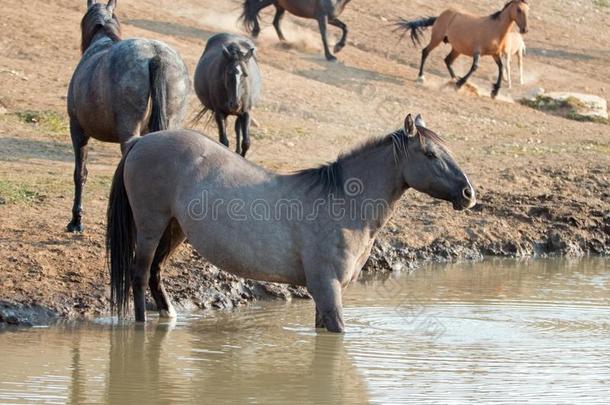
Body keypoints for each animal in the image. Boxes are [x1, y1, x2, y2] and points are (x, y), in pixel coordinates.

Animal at [104, 113, 476, 332]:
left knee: (155, 272)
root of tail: (141, 140)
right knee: (139, 273)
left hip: (175, 228)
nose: (469, 193)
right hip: (151, 225)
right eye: (430, 154)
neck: (345, 203)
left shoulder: (323, 292)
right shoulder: (328, 287)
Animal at [394, 0, 528, 98]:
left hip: (457, 49)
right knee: (425, 52)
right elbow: (474, 67)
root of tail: (442, 15)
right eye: (519, 9)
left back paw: (454, 80)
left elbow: (501, 68)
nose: (525, 30)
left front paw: (495, 92)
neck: (495, 29)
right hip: (437, 39)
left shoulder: (495, 54)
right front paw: (459, 84)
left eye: (528, 10)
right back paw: (421, 77)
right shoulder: (477, 52)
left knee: (448, 60)